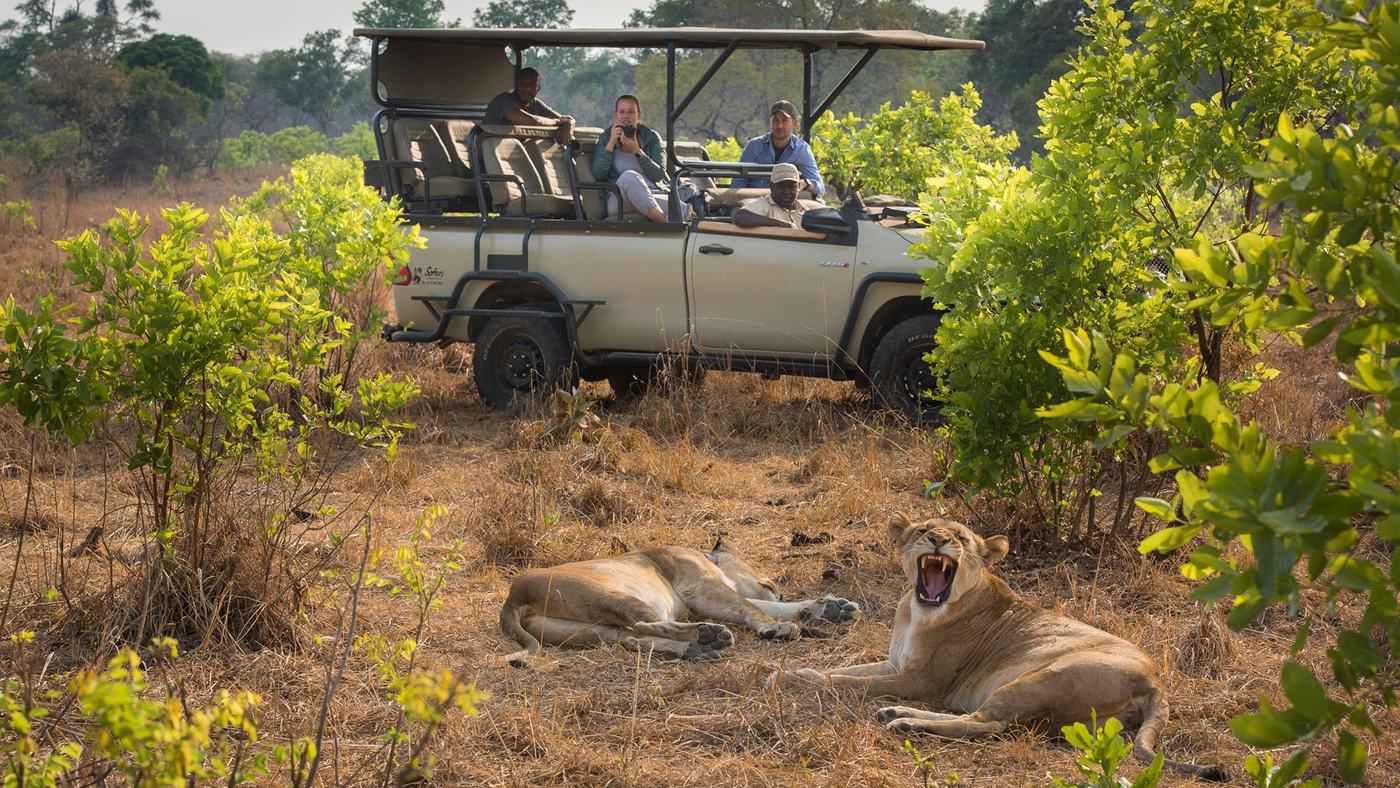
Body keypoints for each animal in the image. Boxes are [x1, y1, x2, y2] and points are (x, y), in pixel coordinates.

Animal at [500, 537, 859, 666]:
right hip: (612, 594)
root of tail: (513, 596)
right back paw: (709, 636)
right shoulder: (700, 590)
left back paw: (697, 649)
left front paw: (831, 608)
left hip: (587, 630)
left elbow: (764, 605)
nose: (776, 585)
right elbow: (752, 607)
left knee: (632, 639)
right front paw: (780, 628)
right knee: (642, 623)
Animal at [771, 515, 1226, 781]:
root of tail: (1156, 682)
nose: (937, 540)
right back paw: (896, 715)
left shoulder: (919, 681)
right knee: (989, 721)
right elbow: (847, 672)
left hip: (1041, 676)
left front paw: (786, 676)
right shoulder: (895, 665)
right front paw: (791, 671)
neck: (918, 611)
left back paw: (904, 723)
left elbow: (847, 684)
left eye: (960, 537)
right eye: (923, 530)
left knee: (986, 723)